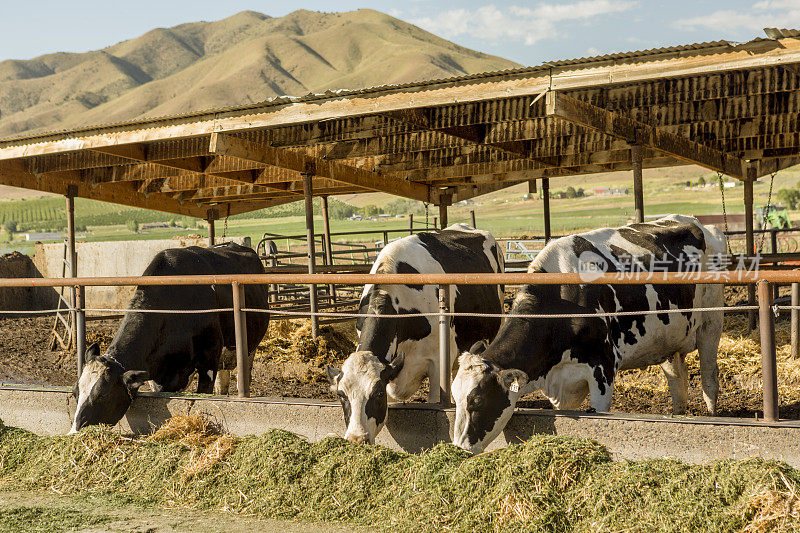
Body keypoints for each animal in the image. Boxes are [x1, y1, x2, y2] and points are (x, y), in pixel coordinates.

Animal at [454, 214, 728, 450]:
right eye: (455, 398)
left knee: (709, 378)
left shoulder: (603, 369)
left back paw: (712, 417)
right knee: (677, 382)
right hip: (668, 337)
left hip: (711, 323)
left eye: (477, 400)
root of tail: (698, 223)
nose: (459, 448)